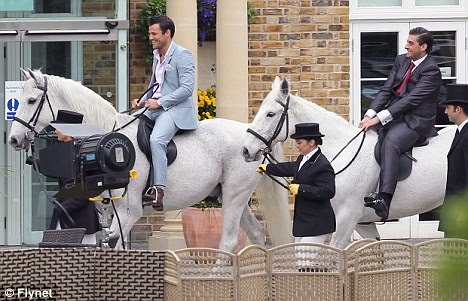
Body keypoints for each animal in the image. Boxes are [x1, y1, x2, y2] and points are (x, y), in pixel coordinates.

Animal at [8, 69, 292, 250]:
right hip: (230, 196)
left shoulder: (128, 212)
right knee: (256, 234)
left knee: (230, 240)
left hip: (235, 194)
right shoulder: (106, 211)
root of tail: (249, 135)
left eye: (31, 100)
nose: (13, 139)